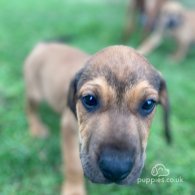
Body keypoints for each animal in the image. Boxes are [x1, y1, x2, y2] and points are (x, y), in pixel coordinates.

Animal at [24, 43, 171, 195]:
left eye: (148, 104)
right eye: (89, 99)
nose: (115, 169)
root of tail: (43, 44)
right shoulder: (69, 128)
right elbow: (73, 164)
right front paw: (74, 190)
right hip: (34, 93)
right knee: (30, 109)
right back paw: (36, 128)